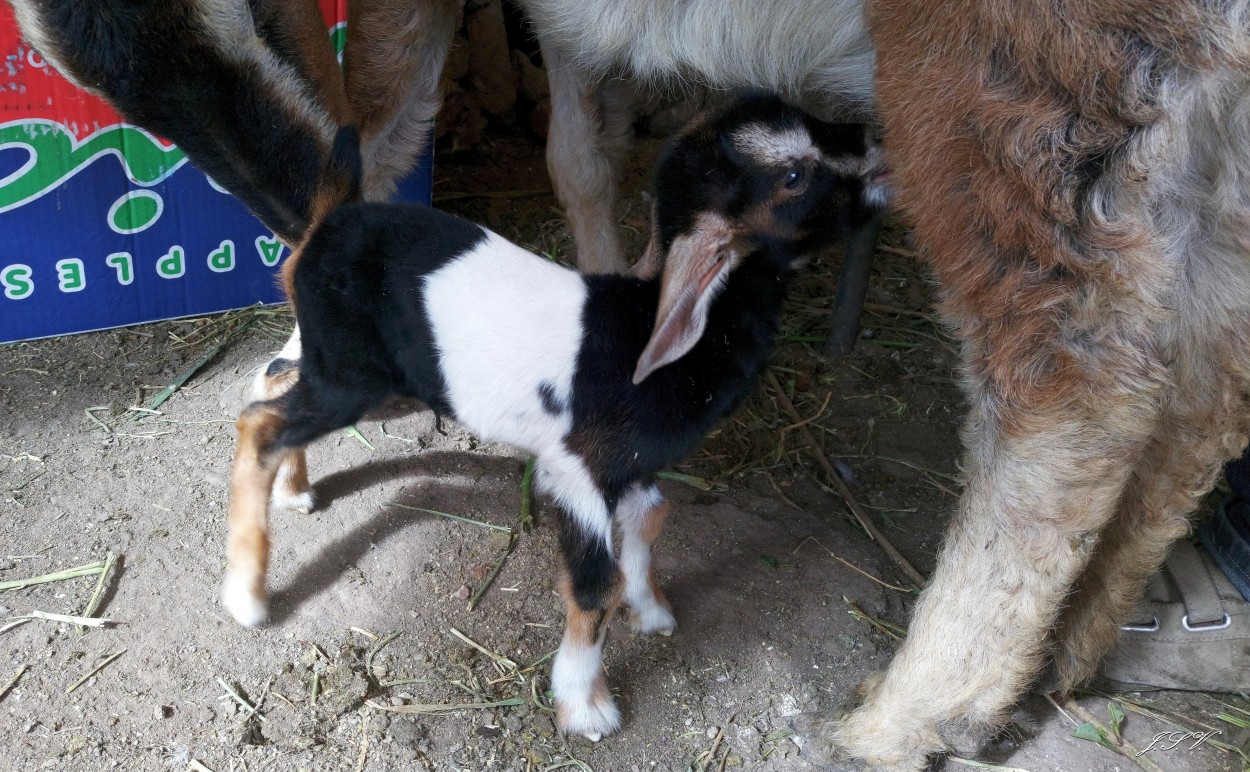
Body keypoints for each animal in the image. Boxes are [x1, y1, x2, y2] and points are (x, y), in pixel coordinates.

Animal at [227, 93, 890, 734]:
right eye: (795, 175)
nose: (879, 145)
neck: (650, 329)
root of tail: (327, 222)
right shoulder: (578, 471)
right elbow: (596, 585)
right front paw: (585, 706)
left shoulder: (633, 465)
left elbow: (651, 520)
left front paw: (652, 611)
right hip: (353, 379)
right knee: (259, 423)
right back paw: (247, 596)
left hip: (358, 372)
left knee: (273, 378)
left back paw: (295, 493)